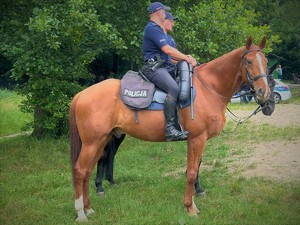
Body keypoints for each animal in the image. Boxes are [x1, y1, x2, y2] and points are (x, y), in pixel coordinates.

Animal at [69, 36, 270, 221]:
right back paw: (80, 213)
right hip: (92, 142)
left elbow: (194, 169)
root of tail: (81, 94)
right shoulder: (197, 139)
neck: (208, 88)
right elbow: (191, 172)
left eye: (266, 62)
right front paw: (190, 207)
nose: (264, 92)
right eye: (249, 61)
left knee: (88, 171)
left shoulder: (199, 140)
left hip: (101, 140)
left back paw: (89, 208)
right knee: (79, 171)